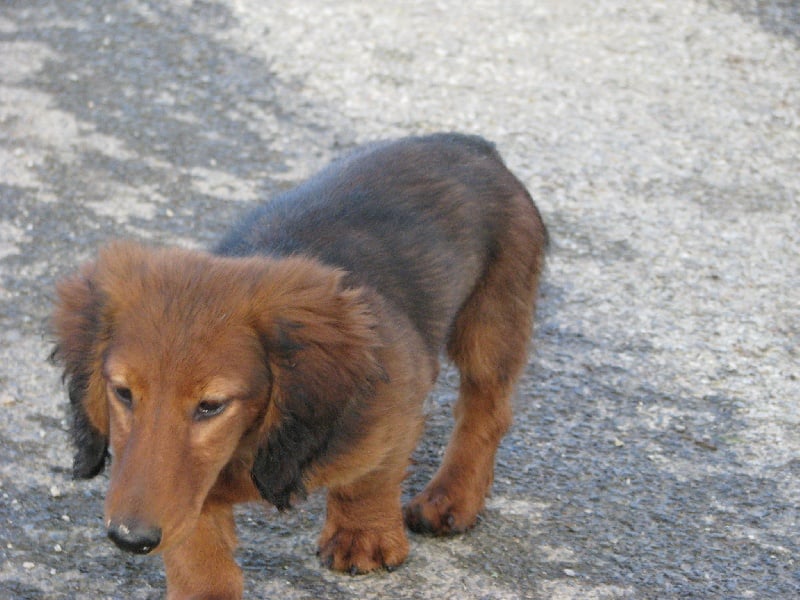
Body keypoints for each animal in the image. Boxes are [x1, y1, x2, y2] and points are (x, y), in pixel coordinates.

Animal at [51, 134, 552, 596]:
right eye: (123, 393)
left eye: (211, 405)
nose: (129, 538)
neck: (251, 445)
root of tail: (469, 143)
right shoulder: (189, 493)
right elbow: (197, 546)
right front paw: (204, 586)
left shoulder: (393, 405)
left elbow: (371, 475)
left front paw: (363, 536)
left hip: (492, 320)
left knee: (485, 410)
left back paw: (450, 499)